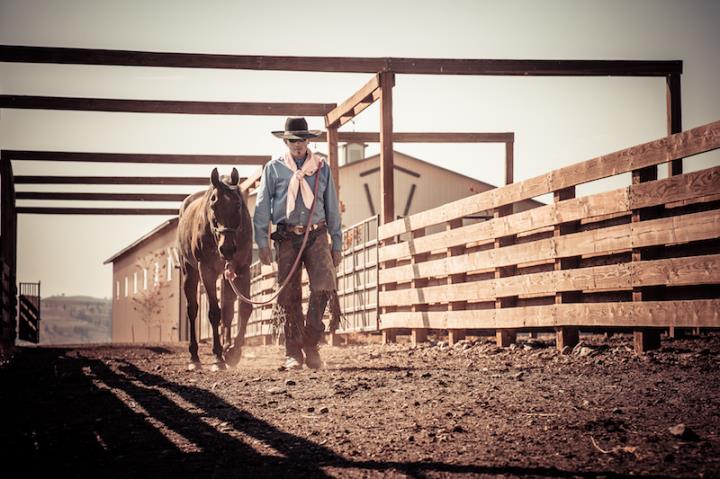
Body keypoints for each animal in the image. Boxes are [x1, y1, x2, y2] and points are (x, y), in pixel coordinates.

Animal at [176, 169, 252, 372]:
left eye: (238, 204)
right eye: (213, 204)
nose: (227, 249)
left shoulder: (242, 268)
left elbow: (243, 309)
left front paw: (233, 353)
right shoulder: (207, 271)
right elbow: (213, 313)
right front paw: (218, 357)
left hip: (226, 275)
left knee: (228, 310)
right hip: (190, 272)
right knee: (192, 310)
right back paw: (194, 357)